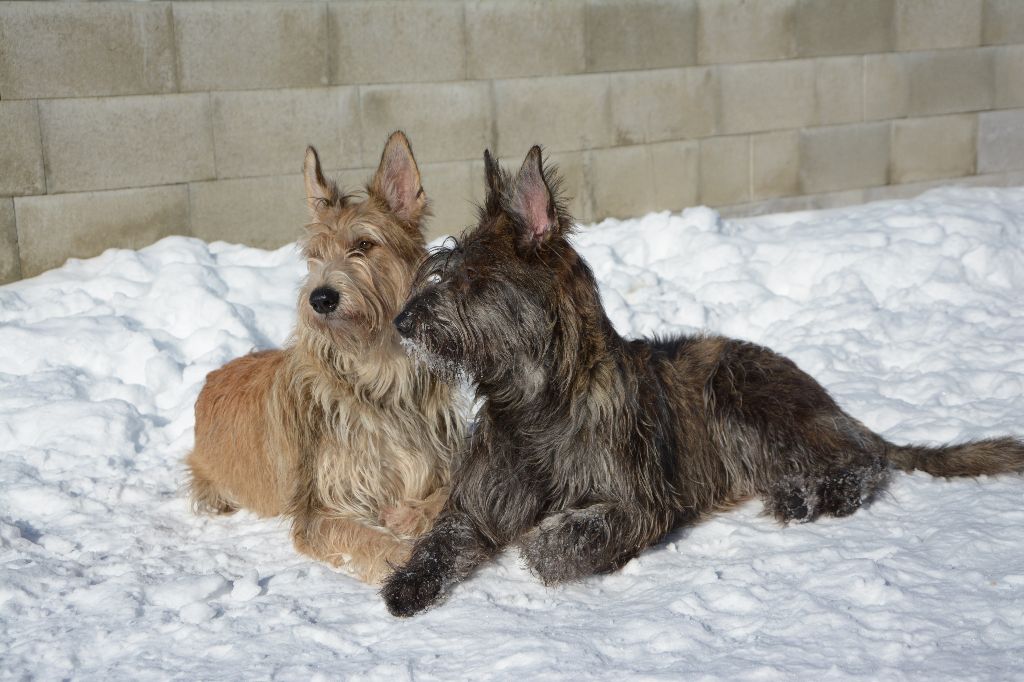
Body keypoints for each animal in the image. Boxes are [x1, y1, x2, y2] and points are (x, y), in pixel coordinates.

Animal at [186, 134, 462, 585]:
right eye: (314, 255)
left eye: (364, 244)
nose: (320, 298)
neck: (379, 374)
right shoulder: (319, 508)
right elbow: (368, 539)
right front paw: (406, 555)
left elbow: (448, 495)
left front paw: (411, 516)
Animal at [380, 146, 1024, 614]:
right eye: (439, 269)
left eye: (471, 280)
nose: (401, 322)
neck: (536, 404)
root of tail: (831, 402)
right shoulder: (477, 503)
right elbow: (440, 539)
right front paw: (408, 583)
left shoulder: (640, 505)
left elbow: (556, 543)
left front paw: (548, 542)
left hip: (742, 397)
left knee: (865, 461)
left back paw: (817, 494)